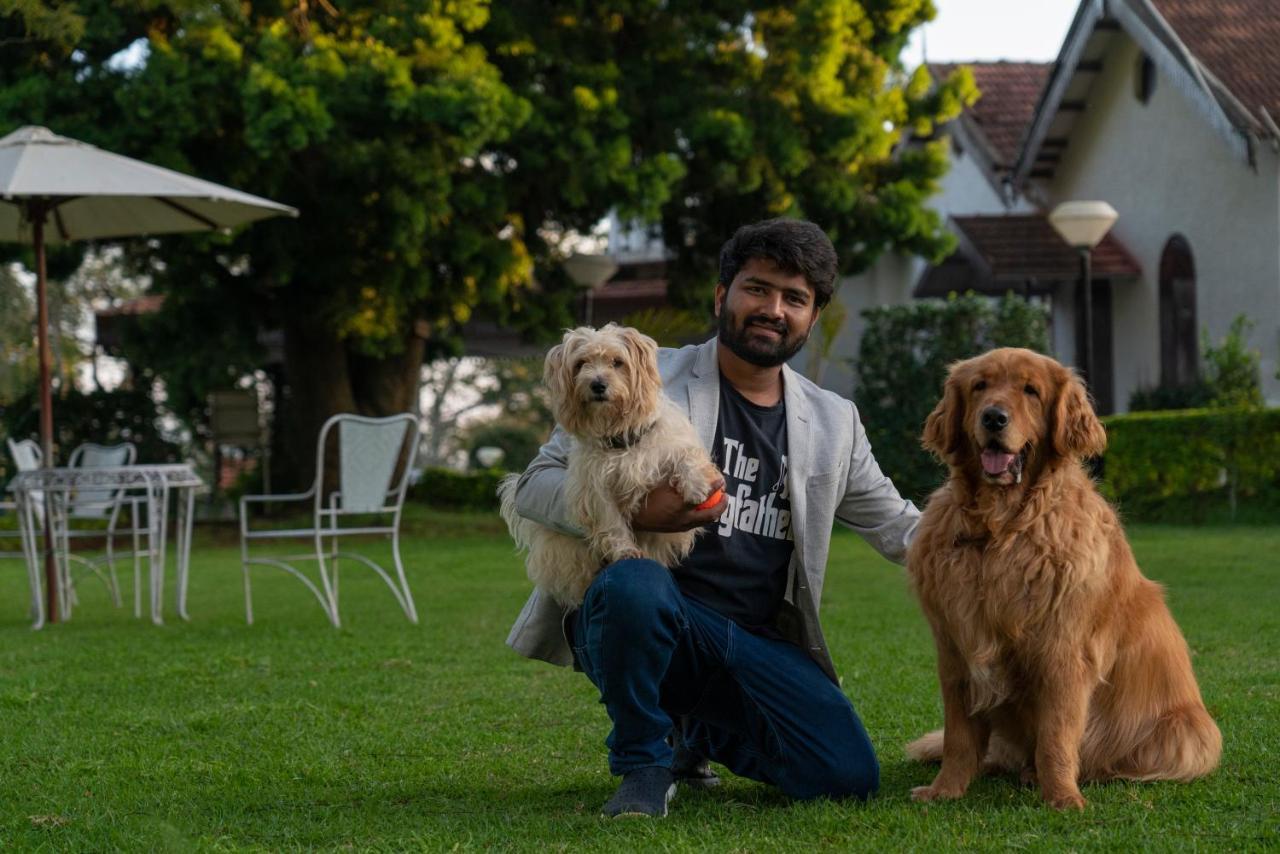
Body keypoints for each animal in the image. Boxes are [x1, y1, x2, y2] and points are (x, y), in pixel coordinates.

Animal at [496, 322, 721, 606]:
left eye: (617, 362)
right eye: (581, 364)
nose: (597, 384)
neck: (620, 436)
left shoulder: (671, 444)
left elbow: (687, 456)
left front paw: (696, 484)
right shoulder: (595, 489)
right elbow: (610, 520)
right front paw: (625, 551)